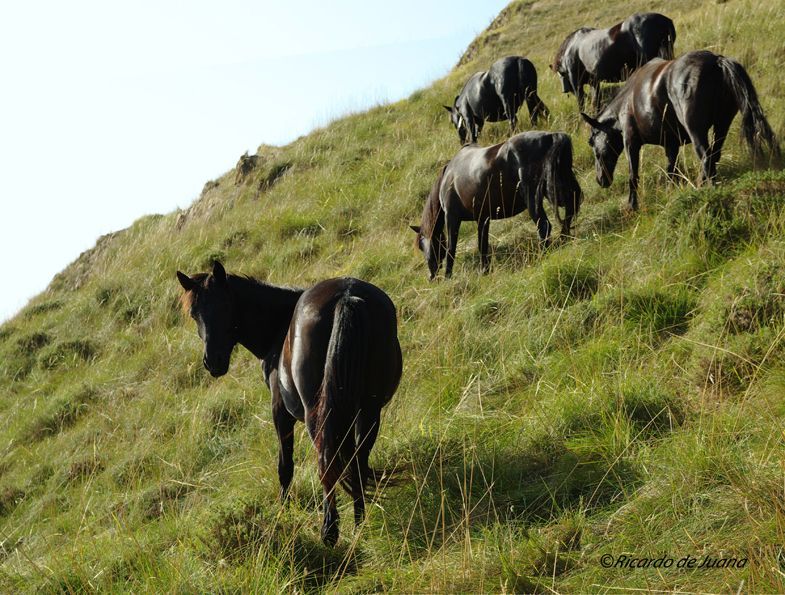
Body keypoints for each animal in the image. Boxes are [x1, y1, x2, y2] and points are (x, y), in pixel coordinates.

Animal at [175, 264, 402, 548]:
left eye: (224, 305)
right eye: (195, 314)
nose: (212, 362)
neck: (278, 328)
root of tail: (347, 297)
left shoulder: (280, 412)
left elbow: (285, 467)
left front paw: (284, 512)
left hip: (320, 416)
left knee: (327, 462)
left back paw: (329, 531)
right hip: (368, 409)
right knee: (358, 460)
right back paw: (360, 523)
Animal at [410, 131, 580, 280]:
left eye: (422, 245)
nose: (431, 275)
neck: (448, 177)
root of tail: (552, 136)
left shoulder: (452, 218)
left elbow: (452, 249)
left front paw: (448, 276)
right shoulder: (482, 219)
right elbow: (482, 245)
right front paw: (484, 271)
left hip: (534, 200)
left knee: (544, 225)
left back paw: (544, 253)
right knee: (569, 211)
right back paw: (564, 238)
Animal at [580, 50, 776, 212]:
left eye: (592, 142)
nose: (600, 180)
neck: (626, 102)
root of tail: (716, 61)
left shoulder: (631, 143)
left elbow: (633, 175)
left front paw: (632, 205)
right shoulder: (671, 144)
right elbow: (671, 169)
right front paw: (670, 192)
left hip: (696, 130)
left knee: (706, 156)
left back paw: (706, 187)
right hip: (722, 125)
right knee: (714, 154)